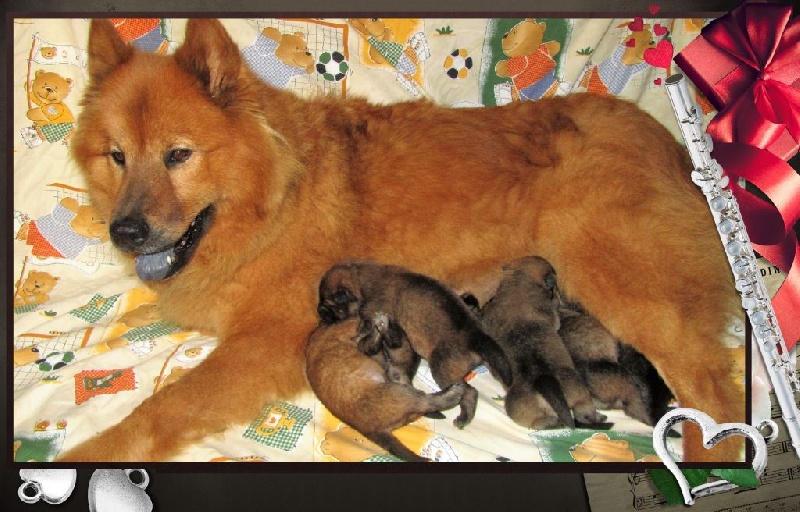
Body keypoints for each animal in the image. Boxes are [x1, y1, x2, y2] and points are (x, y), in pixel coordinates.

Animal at [316, 260, 510, 428]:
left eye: (328, 303)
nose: (320, 313)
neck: (360, 281)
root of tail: (476, 336)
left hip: (443, 372)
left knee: (470, 392)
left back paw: (464, 417)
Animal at [482, 255, 608, 428]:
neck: (520, 280)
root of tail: (543, 384)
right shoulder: (552, 316)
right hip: (578, 393)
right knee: (583, 411)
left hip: (523, 409)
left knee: (536, 422)